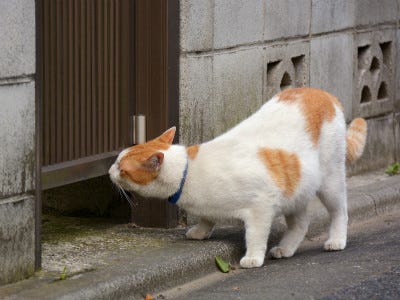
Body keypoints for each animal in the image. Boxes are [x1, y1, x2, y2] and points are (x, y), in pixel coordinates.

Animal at [108, 86, 366, 268]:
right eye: (117, 161)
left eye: (121, 168)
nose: (109, 170)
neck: (188, 173)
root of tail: (323, 94)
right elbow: (206, 217)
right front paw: (201, 231)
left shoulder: (261, 205)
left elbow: (255, 235)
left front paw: (253, 257)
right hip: (297, 190)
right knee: (301, 224)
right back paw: (285, 248)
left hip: (330, 180)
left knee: (339, 211)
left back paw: (336, 240)